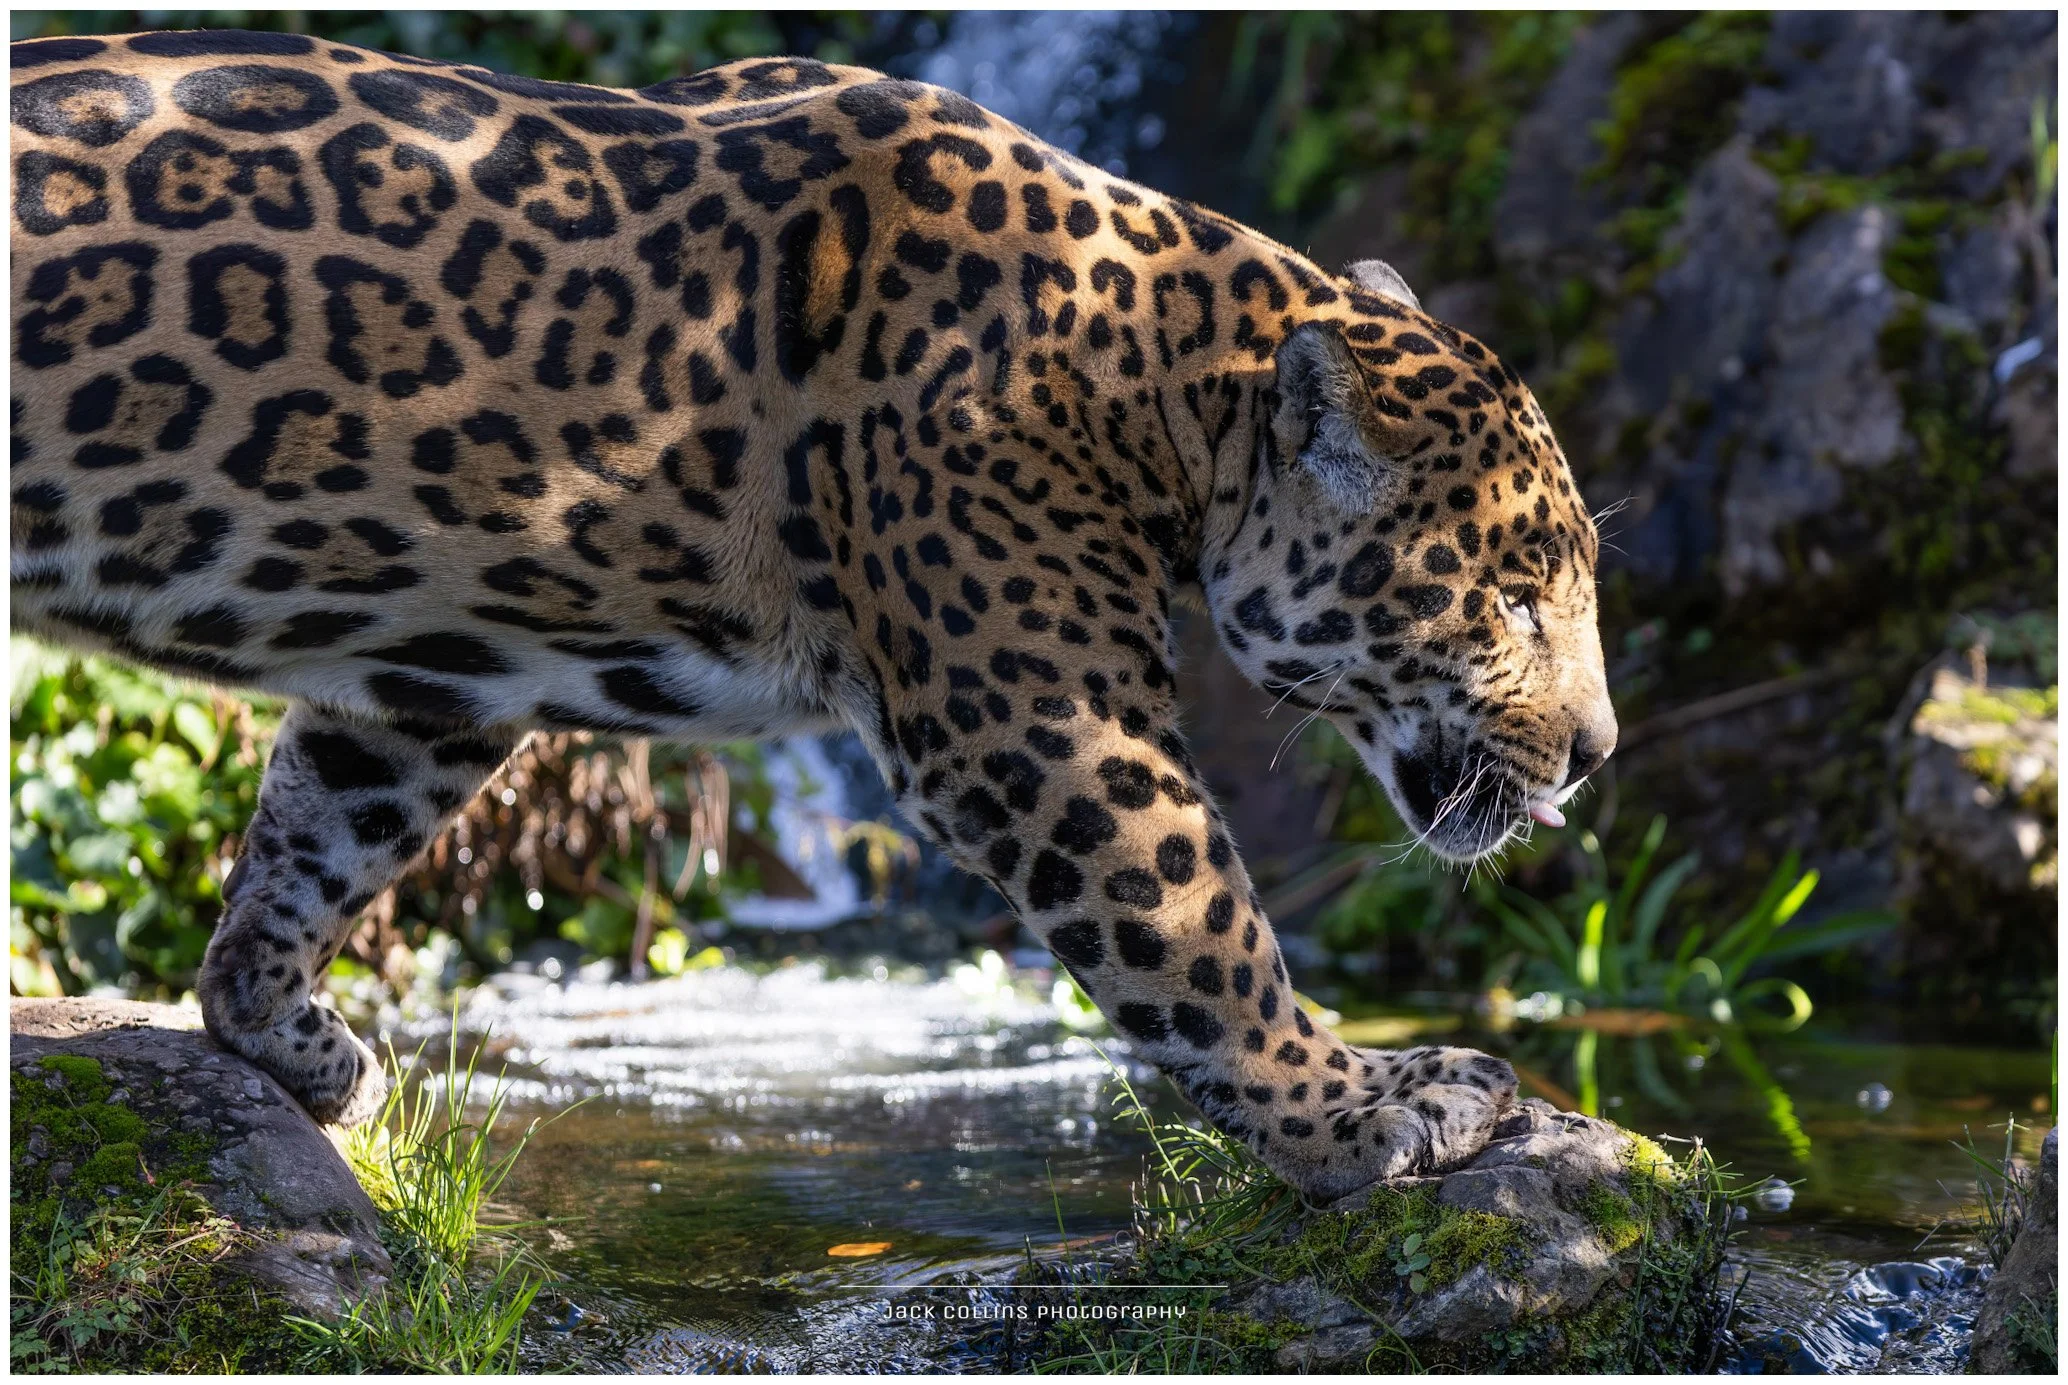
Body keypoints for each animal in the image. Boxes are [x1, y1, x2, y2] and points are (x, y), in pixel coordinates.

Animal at [10, 30, 1617, 1203]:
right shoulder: (1040, 722)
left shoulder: (425, 677)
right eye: (1511, 593)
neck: (1161, 379)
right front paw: (1359, 1109)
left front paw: (279, 1032)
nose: (1598, 749)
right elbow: (1200, 930)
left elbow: (320, 828)